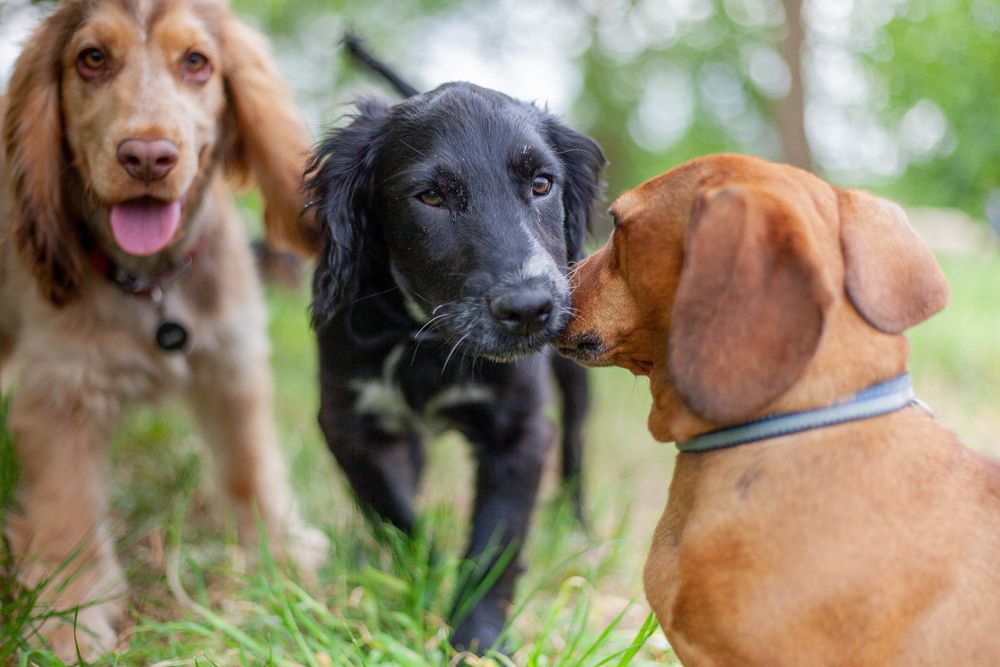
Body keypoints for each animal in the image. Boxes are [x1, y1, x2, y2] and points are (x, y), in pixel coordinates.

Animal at [306, 43, 600, 652]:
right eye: (431, 196)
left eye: (542, 184)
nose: (530, 308)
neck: (429, 341)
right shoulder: (347, 420)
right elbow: (393, 510)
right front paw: (420, 574)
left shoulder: (520, 430)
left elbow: (495, 541)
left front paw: (477, 640)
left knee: (577, 445)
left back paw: (580, 527)